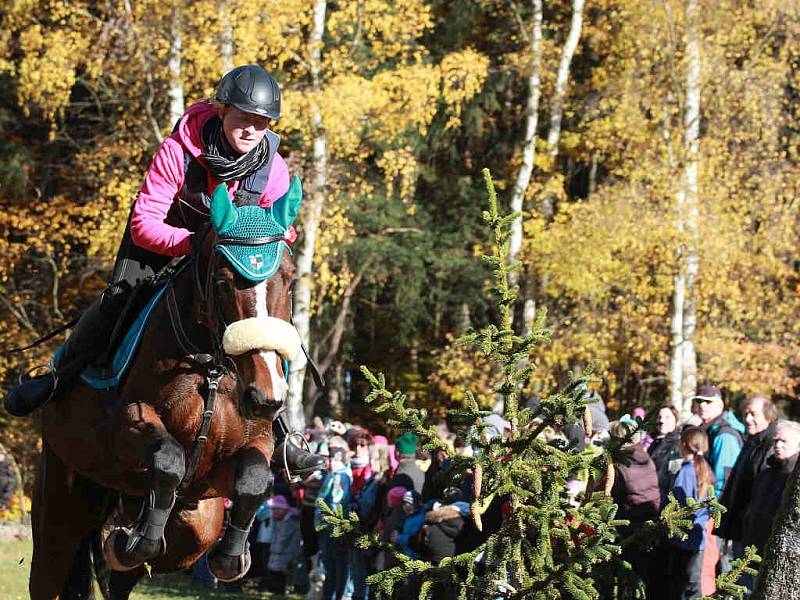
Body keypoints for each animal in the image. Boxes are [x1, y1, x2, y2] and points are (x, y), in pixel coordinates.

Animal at [27, 180, 304, 596]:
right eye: (223, 282)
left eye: (289, 280)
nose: (265, 397)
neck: (210, 370)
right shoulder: (125, 429)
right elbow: (169, 458)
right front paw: (127, 540)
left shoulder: (247, 447)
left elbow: (256, 478)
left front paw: (230, 558)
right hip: (61, 505)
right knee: (52, 568)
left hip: (194, 525)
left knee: (133, 573)